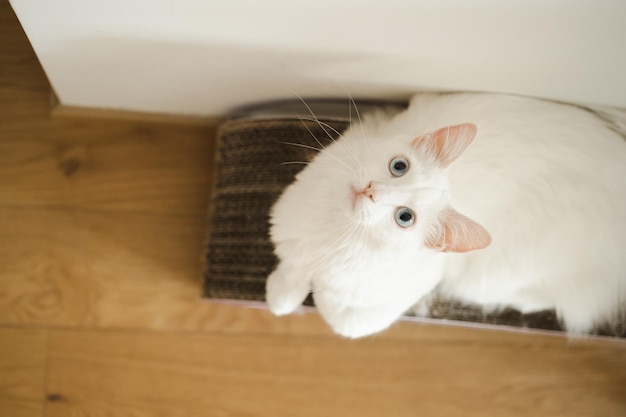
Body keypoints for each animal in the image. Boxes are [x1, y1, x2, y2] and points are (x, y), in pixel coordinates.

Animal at [264, 92, 624, 338]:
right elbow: (290, 274)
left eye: (405, 217)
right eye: (399, 166)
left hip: (492, 280)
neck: (333, 229)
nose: (371, 191)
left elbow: (335, 312)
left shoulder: (365, 310)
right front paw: (281, 298)